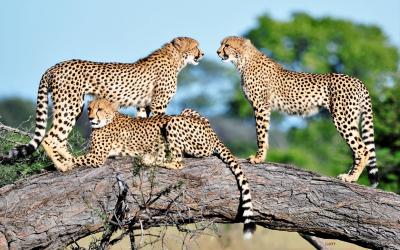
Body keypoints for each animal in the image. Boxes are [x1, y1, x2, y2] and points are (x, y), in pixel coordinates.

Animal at [1, 36, 203, 171]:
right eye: (195, 46)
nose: (203, 53)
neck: (175, 58)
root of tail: (54, 66)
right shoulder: (158, 103)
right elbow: (159, 123)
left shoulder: (142, 105)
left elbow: (143, 126)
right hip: (70, 104)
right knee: (50, 138)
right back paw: (63, 165)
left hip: (74, 106)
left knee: (60, 138)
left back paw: (69, 158)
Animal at [61, 98, 256, 238]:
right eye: (89, 108)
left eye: (100, 109)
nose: (90, 118)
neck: (111, 118)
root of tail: (213, 134)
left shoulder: (97, 156)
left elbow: (72, 159)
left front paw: (60, 162)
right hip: (186, 112)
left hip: (174, 122)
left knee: (177, 162)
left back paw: (150, 159)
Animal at [219, 36, 378, 187]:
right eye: (222, 44)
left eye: (227, 45)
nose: (218, 52)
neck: (243, 60)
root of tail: (357, 80)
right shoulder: (264, 107)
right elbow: (264, 133)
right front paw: (261, 157)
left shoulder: (261, 106)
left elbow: (261, 134)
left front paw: (258, 158)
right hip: (352, 118)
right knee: (356, 149)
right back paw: (350, 175)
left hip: (342, 118)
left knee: (363, 149)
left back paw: (351, 177)